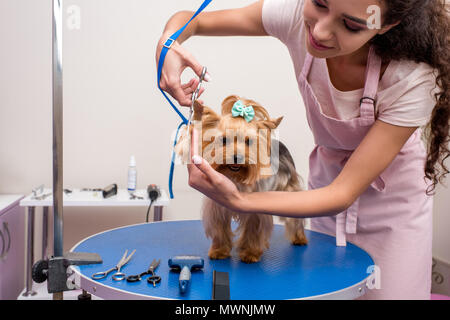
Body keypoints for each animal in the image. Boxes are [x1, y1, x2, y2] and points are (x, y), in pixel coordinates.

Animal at [174, 94, 308, 262]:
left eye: (248, 141)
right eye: (224, 140)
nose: (237, 157)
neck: (234, 177)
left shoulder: (255, 209)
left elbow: (253, 230)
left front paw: (250, 253)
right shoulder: (217, 207)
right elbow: (220, 229)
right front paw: (219, 251)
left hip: (289, 187)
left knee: (295, 218)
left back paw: (299, 238)